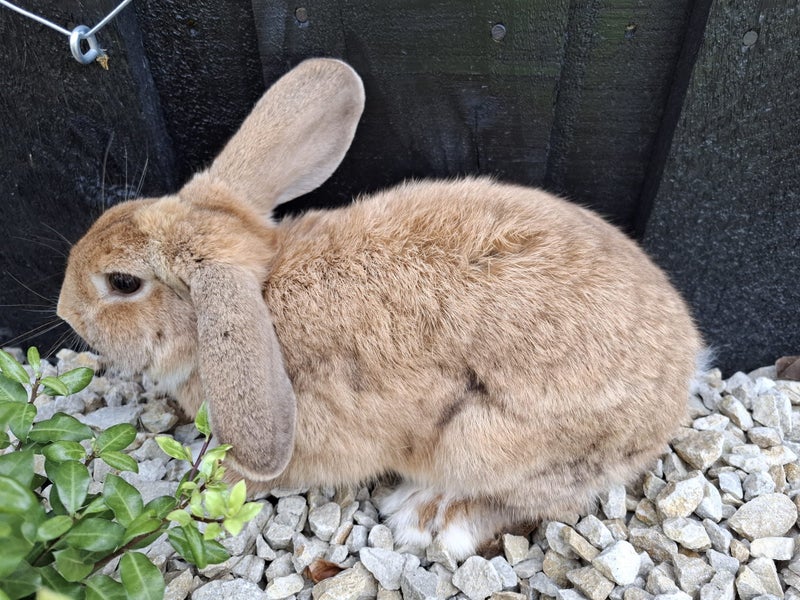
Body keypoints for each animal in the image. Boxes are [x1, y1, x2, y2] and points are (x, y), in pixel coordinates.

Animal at [57, 58, 703, 559]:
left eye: (122, 283)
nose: (65, 312)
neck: (255, 294)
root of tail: (679, 388)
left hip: (486, 442)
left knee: (531, 503)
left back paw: (428, 516)